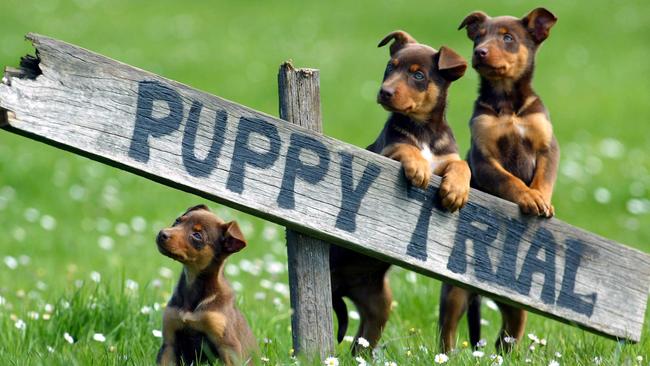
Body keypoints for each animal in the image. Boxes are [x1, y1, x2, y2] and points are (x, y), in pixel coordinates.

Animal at [330, 31, 470, 354]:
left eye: (418, 75)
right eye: (389, 67)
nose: (384, 92)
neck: (424, 132)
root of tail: (344, 286)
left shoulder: (447, 157)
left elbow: (462, 164)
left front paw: (456, 191)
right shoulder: (389, 150)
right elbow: (406, 148)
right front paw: (418, 169)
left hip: (379, 305)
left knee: (362, 342)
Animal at [438, 7, 560, 352]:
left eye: (507, 38)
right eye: (479, 37)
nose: (479, 52)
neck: (507, 105)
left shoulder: (548, 148)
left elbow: (543, 178)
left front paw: (542, 200)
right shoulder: (484, 159)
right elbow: (511, 182)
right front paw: (530, 199)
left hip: (516, 306)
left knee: (507, 337)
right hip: (454, 294)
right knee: (447, 334)